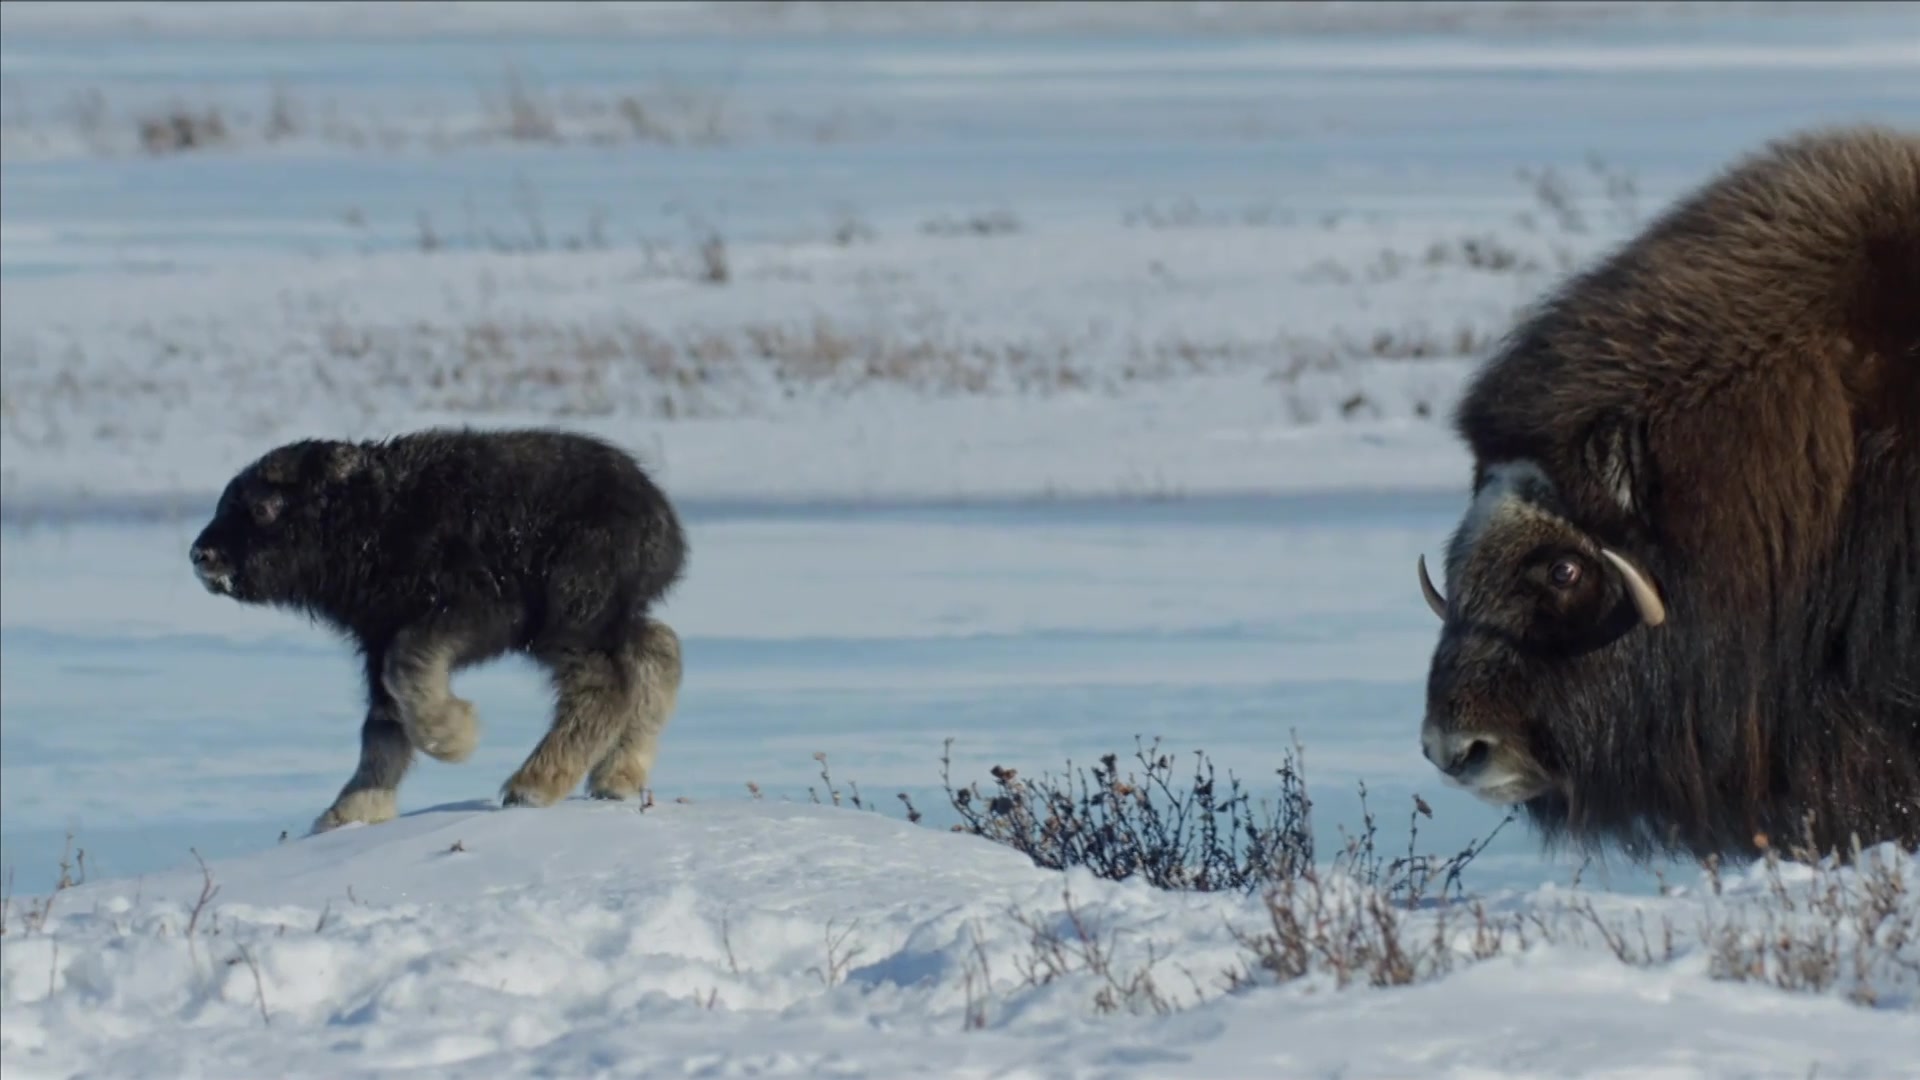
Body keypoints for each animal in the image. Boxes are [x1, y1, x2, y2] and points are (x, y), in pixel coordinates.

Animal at [192, 424, 691, 826]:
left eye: (265, 507)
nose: (202, 555)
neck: (369, 522)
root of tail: (660, 515)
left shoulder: (464, 612)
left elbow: (407, 670)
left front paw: (453, 736)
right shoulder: (378, 639)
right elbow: (382, 725)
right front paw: (348, 813)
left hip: (569, 614)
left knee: (604, 684)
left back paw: (534, 783)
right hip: (602, 617)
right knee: (658, 651)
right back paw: (617, 774)